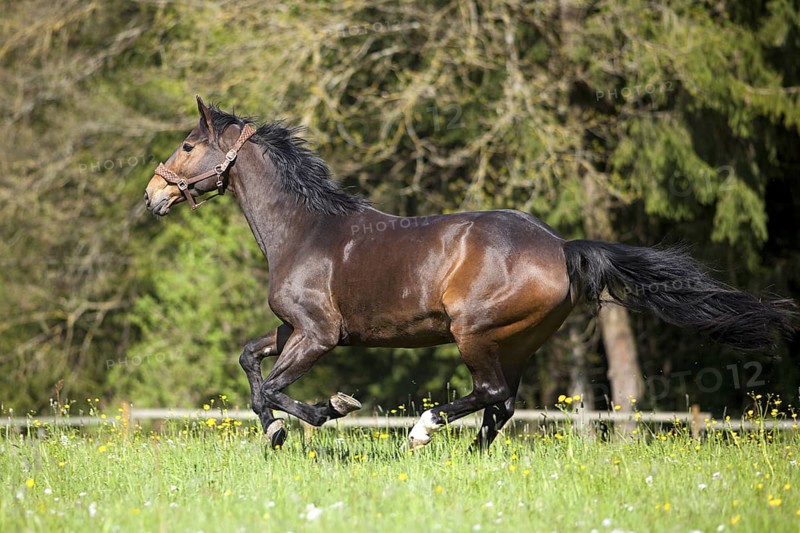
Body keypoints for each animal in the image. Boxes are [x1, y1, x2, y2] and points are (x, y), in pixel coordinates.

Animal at [144, 97, 797, 450]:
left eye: (186, 146)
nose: (153, 196)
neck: (305, 229)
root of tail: (561, 246)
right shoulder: (291, 330)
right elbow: (249, 365)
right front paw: (279, 430)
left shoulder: (318, 335)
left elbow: (273, 390)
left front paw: (324, 412)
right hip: (520, 339)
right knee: (501, 406)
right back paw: (471, 455)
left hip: (475, 331)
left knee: (490, 395)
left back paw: (423, 431)